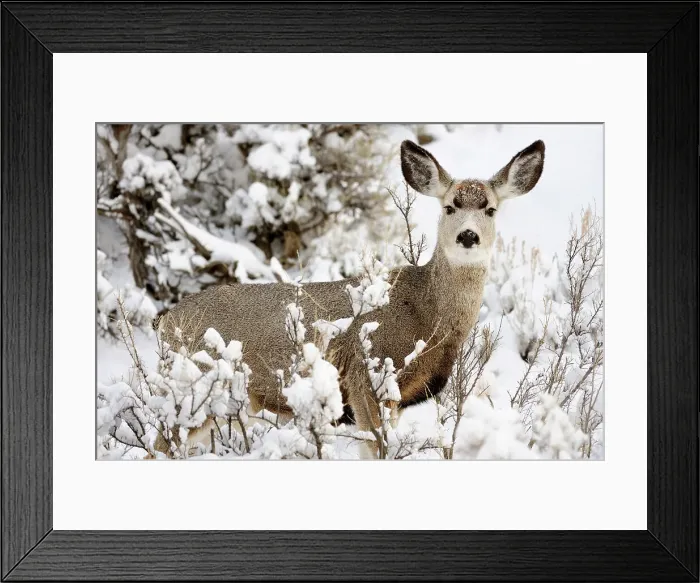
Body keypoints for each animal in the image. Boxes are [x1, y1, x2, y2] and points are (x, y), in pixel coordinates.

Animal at [156, 138, 545, 458]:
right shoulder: (365, 381)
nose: (467, 236)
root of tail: (164, 321)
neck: (427, 315)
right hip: (197, 388)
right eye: (450, 206)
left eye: (490, 209)